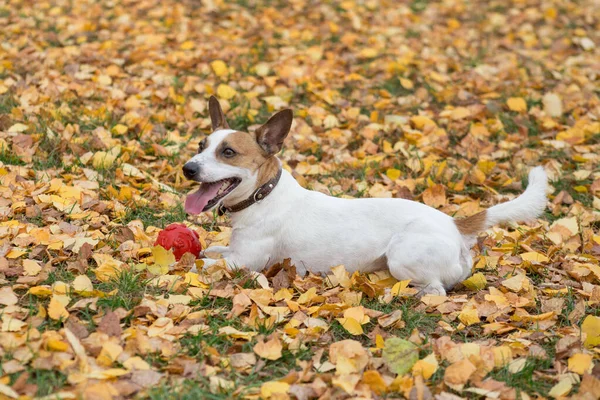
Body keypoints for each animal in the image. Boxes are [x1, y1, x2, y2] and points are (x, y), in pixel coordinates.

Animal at [184, 96, 548, 294]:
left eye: (228, 152)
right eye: (201, 146)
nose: (188, 168)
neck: (264, 195)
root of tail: (455, 225)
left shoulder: (245, 261)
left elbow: (202, 263)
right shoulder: (233, 249)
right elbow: (211, 250)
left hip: (403, 256)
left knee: (435, 290)